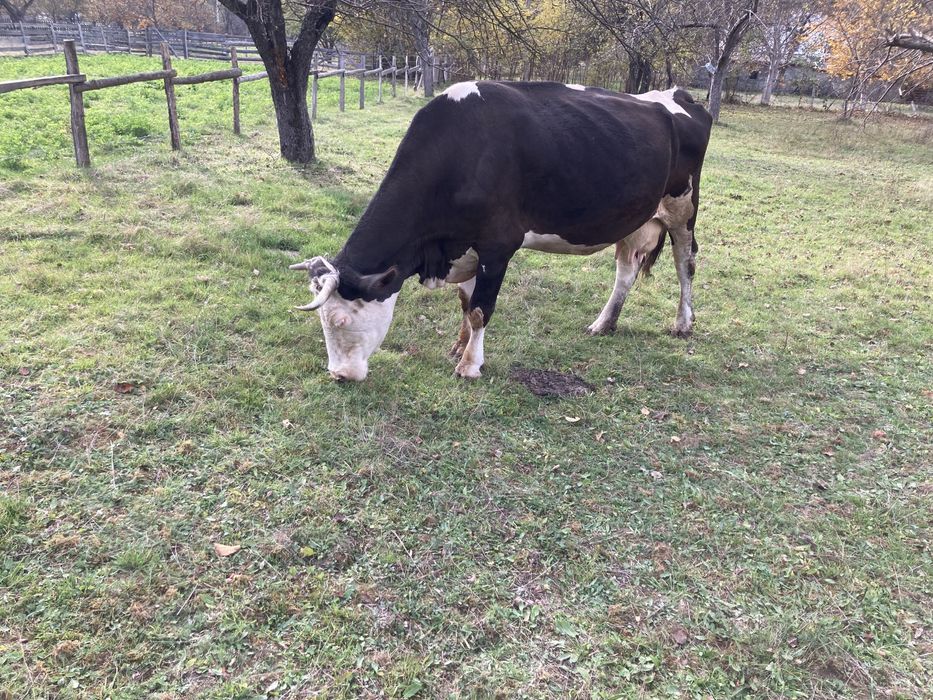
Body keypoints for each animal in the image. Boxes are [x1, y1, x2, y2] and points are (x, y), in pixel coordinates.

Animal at [290, 81, 713, 381]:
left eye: (341, 321)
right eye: (321, 321)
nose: (340, 375)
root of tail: (676, 95)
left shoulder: (498, 244)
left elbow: (480, 308)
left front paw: (469, 365)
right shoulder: (464, 246)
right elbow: (465, 302)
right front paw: (457, 347)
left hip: (683, 208)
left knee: (685, 262)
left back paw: (683, 323)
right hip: (634, 216)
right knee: (625, 270)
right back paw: (603, 324)